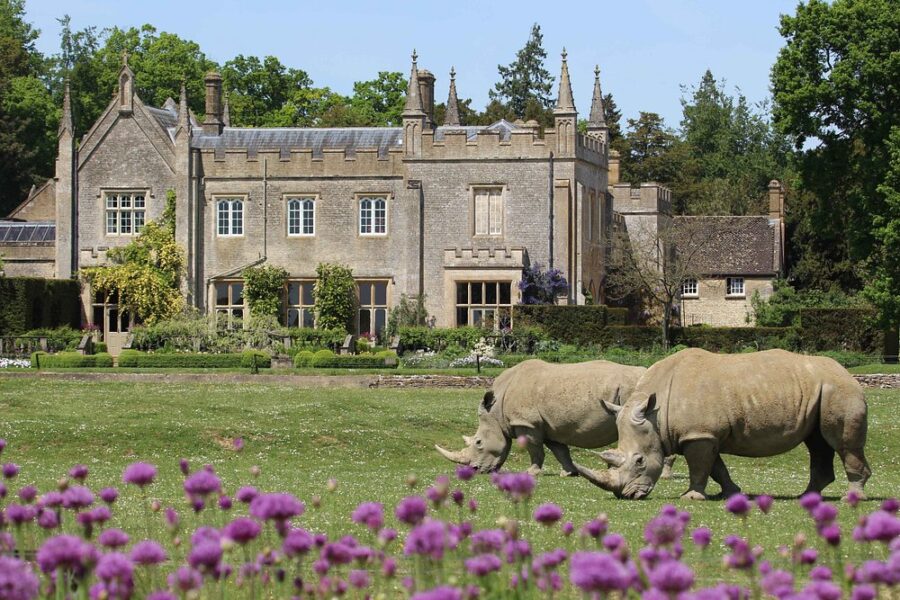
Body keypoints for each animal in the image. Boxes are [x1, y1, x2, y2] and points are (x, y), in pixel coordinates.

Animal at [436, 359, 676, 477]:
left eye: (478, 442)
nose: (474, 471)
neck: (496, 412)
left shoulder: (527, 423)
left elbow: (534, 449)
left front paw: (532, 473)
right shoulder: (548, 426)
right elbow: (560, 450)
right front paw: (568, 473)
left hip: (635, 394)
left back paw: (663, 476)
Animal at [575, 348, 871, 500]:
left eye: (639, 461)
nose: (627, 496)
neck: (655, 415)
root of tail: (845, 370)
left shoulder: (699, 435)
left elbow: (699, 467)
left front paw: (691, 498)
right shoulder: (704, 434)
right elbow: (716, 468)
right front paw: (731, 493)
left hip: (838, 389)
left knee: (842, 443)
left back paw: (851, 499)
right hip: (821, 390)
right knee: (818, 442)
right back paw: (807, 498)